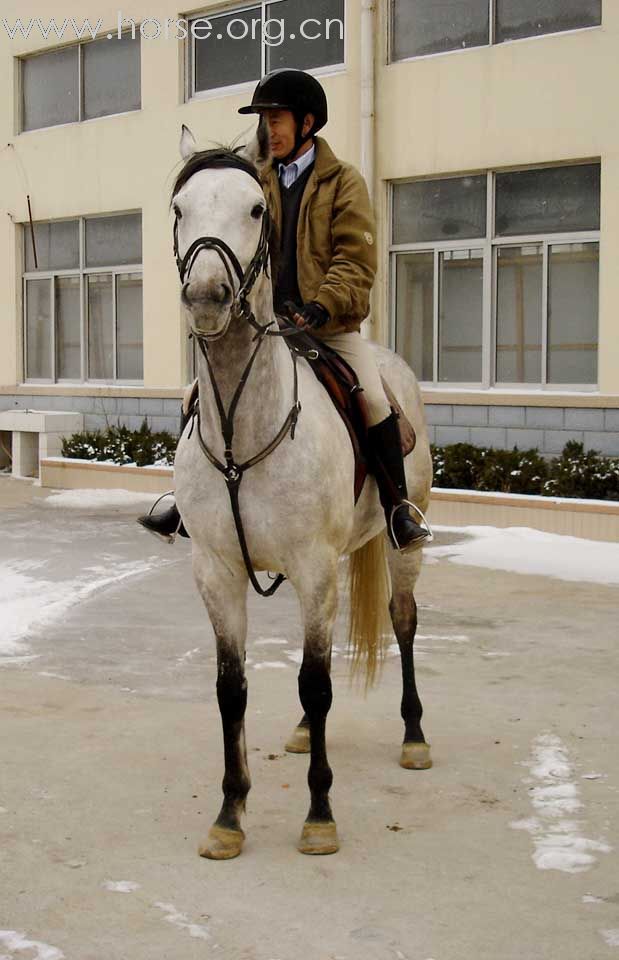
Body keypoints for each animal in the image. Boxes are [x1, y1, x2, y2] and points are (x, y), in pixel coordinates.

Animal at [172, 122, 434, 864]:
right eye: (179, 209)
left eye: (255, 208)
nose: (207, 297)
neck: (244, 428)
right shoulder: (217, 571)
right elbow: (231, 688)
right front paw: (229, 815)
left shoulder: (317, 568)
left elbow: (316, 683)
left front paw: (319, 815)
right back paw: (295, 734)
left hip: (402, 546)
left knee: (403, 621)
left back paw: (414, 737)